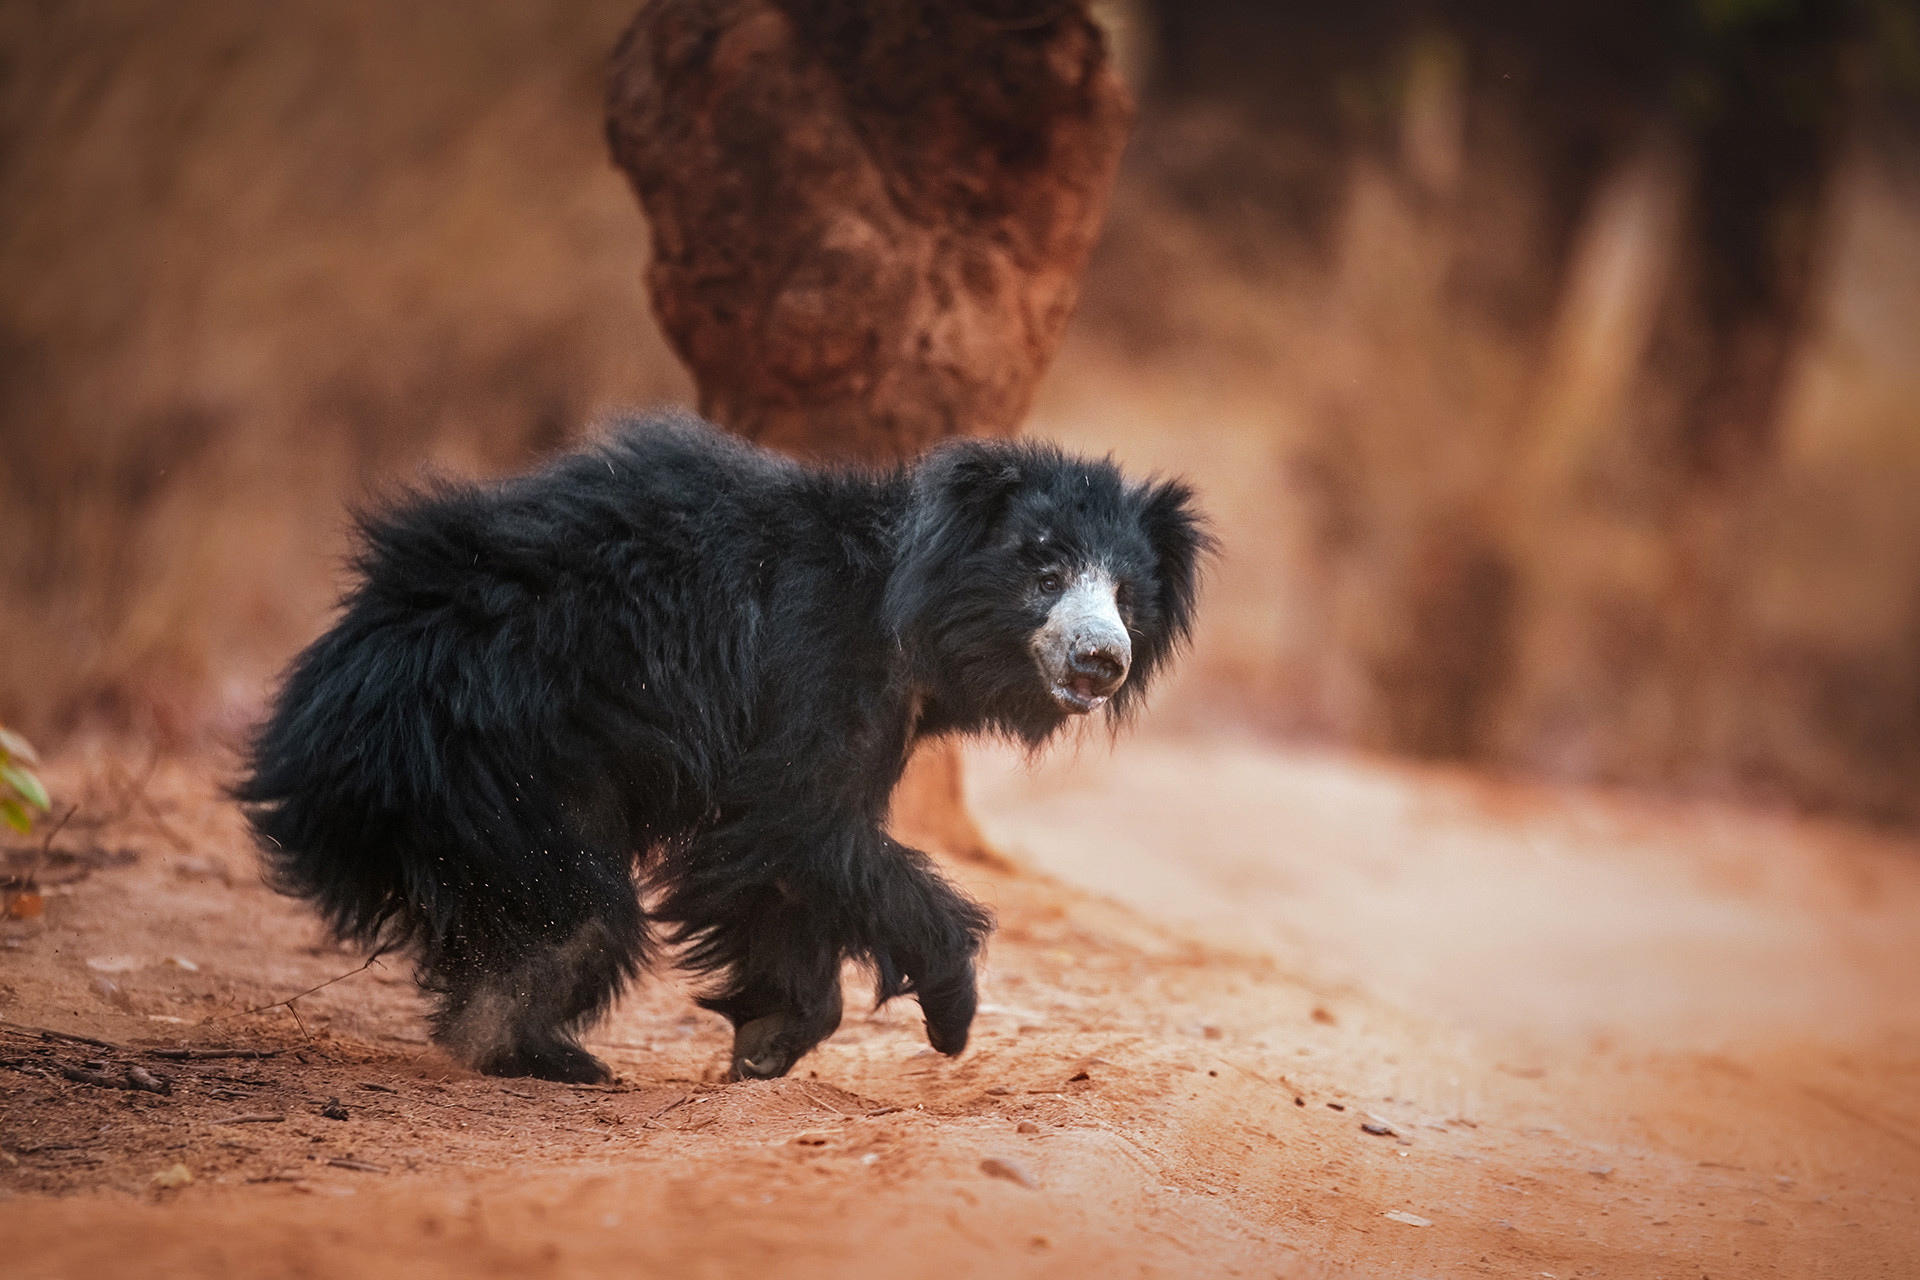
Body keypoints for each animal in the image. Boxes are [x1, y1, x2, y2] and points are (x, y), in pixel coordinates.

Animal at [236, 412, 1209, 1083]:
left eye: (1129, 597)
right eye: (1045, 575)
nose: (1101, 660)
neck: (908, 612)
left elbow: (786, 869)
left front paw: (769, 1042)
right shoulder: (810, 669)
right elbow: (797, 825)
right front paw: (950, 1012)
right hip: (486, 750)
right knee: (577, 919)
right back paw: (536, 1052)